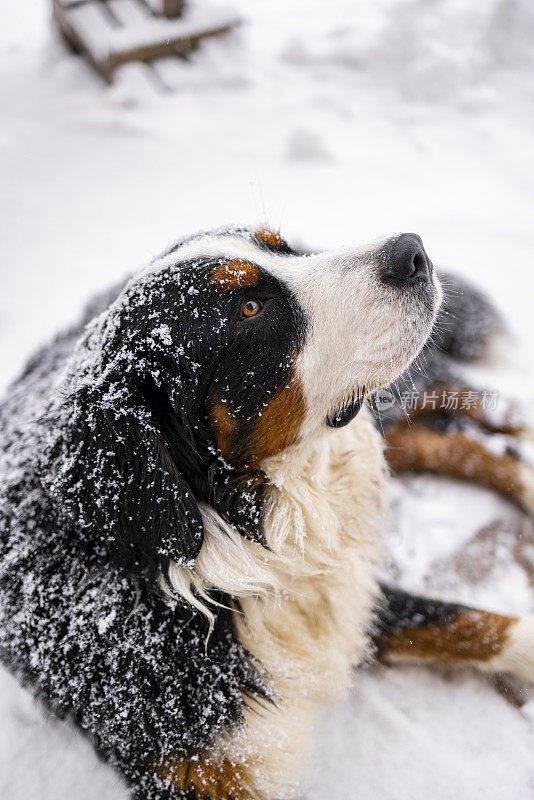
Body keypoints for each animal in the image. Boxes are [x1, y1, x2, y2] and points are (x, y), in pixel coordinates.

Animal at [1, 225, 534, 800]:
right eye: (250, 309)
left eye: (282, 250)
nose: (411, 250)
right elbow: (462, 624)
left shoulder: (348, 595)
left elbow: (471, 621)